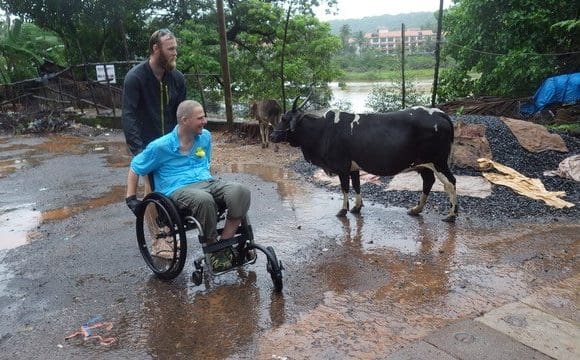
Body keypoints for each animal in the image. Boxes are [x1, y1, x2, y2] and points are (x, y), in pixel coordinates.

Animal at [270, 101, 458, 222]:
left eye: (285, 119)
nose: (272, 136)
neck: (322, 130)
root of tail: (440, 113)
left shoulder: (342, 166)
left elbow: (345, 188)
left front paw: (343, 210)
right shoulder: (354, 167)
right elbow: (357, 185)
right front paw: (357, 207)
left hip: (438, 162)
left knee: (450, 182)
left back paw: (451, 215)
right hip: (424, 164)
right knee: (428, 181)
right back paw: (416, 209)